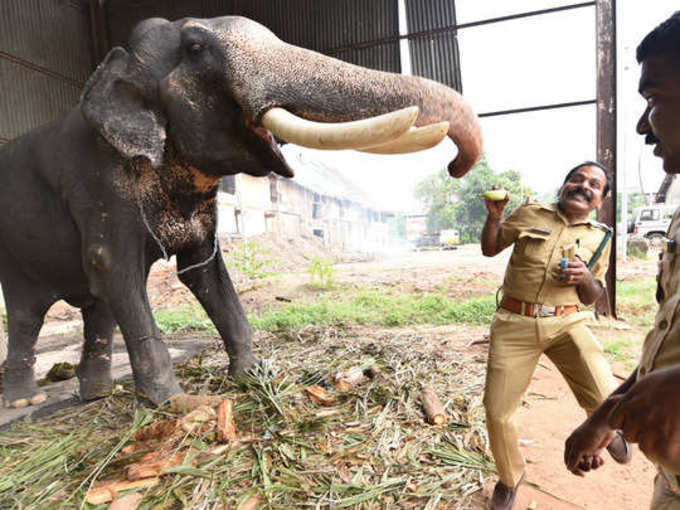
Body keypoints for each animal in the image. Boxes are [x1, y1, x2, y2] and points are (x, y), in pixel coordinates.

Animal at [0, 13, 484, 408]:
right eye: (196, 47)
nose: (455, 167)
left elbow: (203, 270)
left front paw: (253, 376)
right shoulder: (99, 185)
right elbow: (115, 267)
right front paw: (174, 405)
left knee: (96, 303)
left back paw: (96, 394)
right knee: (30, 315)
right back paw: (24, 402)